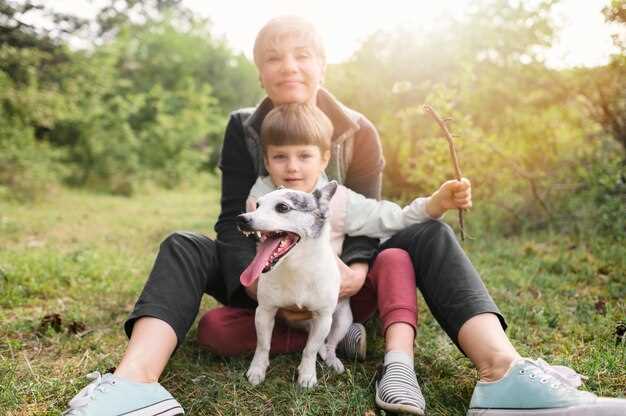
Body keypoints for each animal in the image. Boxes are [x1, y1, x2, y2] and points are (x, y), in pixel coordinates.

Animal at [236, 180, 352, 388]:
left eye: (282, 207)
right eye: (257, 205)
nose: (241, 218)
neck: (296, 266)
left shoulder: (323, 318)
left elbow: (309, 350)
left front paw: (307, 375)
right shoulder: (264, 312)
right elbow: (263, 345)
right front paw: (257, 370)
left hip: (341, 320)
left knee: (329, 344)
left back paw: (332, 359)